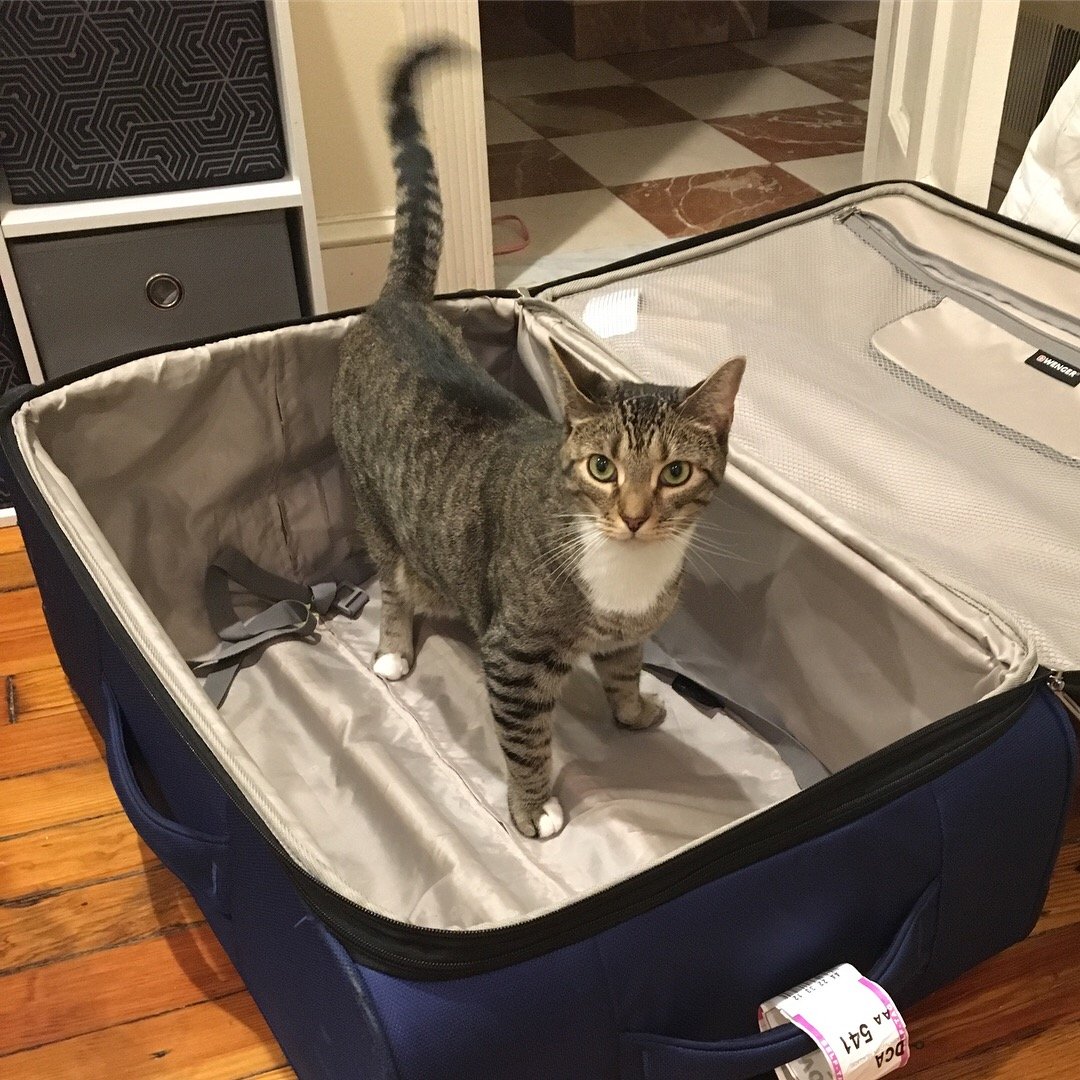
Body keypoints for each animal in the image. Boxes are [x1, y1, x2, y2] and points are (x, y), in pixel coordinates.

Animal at [331, 41, 745, 839]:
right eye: (602, 467)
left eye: (675, 473)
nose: (635, 516)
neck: (626, 573)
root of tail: (400, 303)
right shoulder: (516, 656)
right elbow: (525, 740)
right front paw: (533, 808)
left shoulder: (626, 635)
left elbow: (624, 670)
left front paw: (633, 710)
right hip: (374, 509)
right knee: (390, 581)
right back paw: (394, 651)